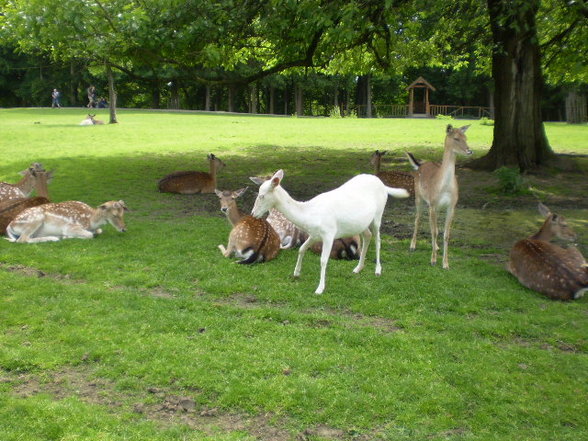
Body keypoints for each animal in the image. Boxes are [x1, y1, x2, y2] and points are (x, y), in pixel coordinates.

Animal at [252, 170, 408, 294]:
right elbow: (301, 249)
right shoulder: (314, 235)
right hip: (361, 224)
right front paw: (296, 273)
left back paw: (378, 270)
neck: (309, 215)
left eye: (262, 195)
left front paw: (320, 288)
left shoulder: (329, 234)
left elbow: (323, 260)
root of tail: (382, 184)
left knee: (378, 239)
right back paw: (358, 268)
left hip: (378, 215)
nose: (253, 214)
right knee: (367, 236)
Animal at [408, 124, 474, 268]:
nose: (469, 151)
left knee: (432, 225)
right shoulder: (433, 204)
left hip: (433, 207)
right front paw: (433, 260)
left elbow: (446, 234)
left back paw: (436, 247)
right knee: (418, 220)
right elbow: (434, 231)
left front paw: (445, 263)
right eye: (456, 138)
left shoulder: (451, 206)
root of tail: (420, 165)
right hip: (419, 198)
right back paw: (412, 246)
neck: (444, 188)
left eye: (466, 137)